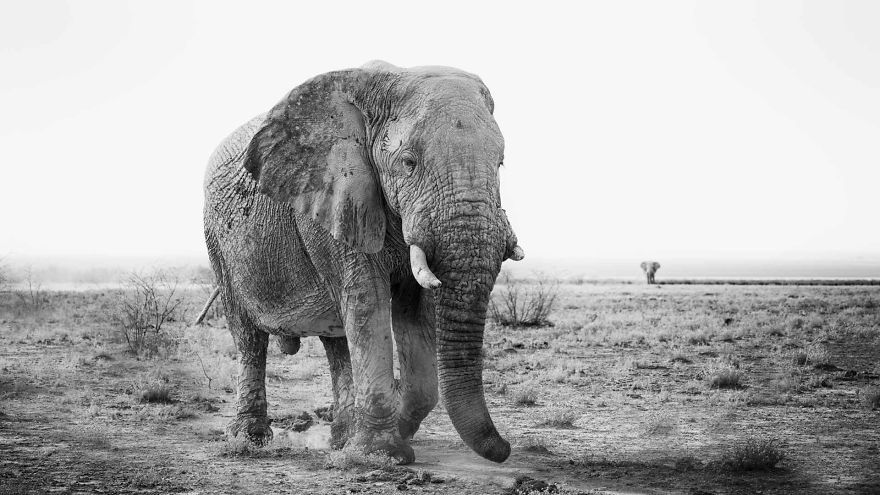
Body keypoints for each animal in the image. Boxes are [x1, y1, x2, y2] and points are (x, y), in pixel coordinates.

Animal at [202, 61, 524, 465]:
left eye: (501, 163)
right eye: (408, 163)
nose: (506, 450)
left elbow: (414, 310)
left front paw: (379, 444)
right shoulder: (331, 196)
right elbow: (367, 298)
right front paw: (380, 456)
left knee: (337, 340)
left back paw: (340, 438)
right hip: (218, 243)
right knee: (248, 336)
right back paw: (249, 440)